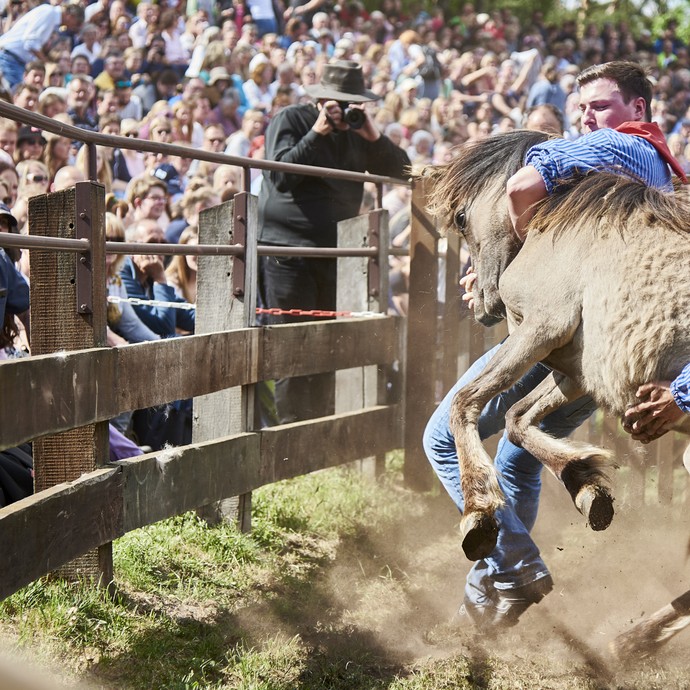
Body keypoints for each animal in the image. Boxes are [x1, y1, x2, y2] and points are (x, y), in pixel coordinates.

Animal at [422, 129, 688, 560]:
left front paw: (478, 509)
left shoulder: (541, 328)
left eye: (461, 218)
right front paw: (583, 479)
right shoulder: (573, 371)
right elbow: (518, 419)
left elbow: (465, 402)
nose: (479, 301)